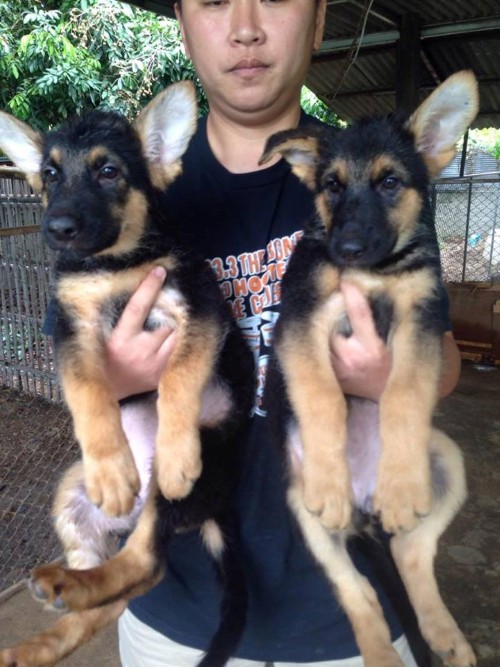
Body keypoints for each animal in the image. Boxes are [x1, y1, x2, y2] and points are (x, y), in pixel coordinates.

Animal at [0, 81, 254, 667]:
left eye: (109, 171)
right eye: (49, 174)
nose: (57, 230)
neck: (112, 266)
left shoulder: (199, 313)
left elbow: (178, 381)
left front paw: (178, 452)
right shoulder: (72, 327)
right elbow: (88, 391)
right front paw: (113, 470)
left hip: (179, 488)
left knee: (145, 565)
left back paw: (68, 586)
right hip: (71, 496)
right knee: (115, 594)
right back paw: (46, 631)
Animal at [261, 71, 478, 666]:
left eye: (389, 183)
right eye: (332, 186)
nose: (349, 247)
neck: (376, 273)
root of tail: (364, 512)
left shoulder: (421, 322)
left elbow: (403, 394)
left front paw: (399, 486)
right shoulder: (301, 321)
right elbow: (322, 398)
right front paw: (331, 477)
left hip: (445, 458)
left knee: (410, 550)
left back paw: (445, 634)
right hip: (304, 512)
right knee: (356, 590)